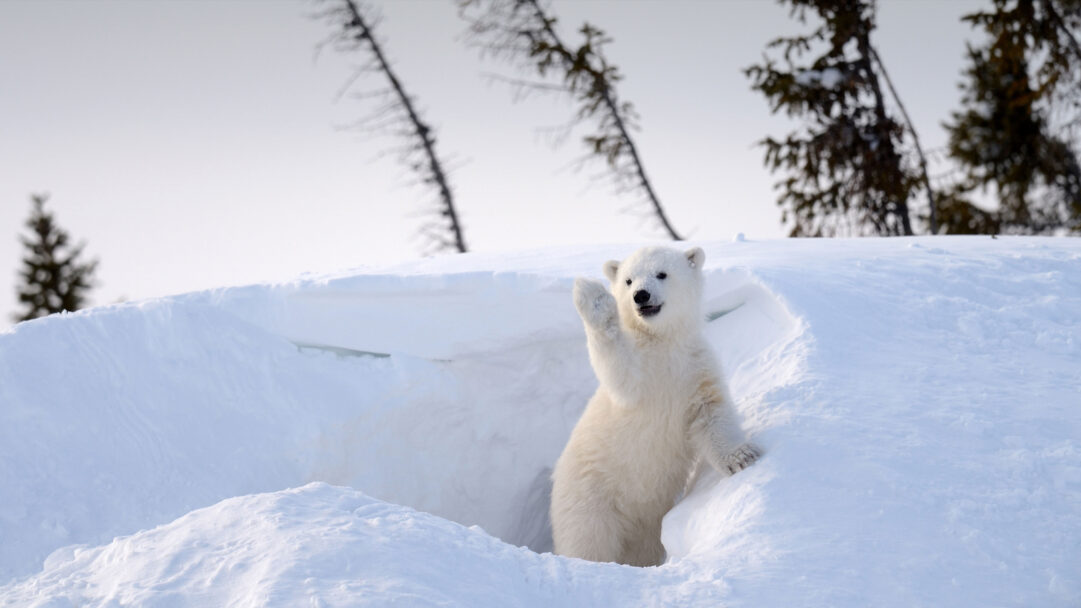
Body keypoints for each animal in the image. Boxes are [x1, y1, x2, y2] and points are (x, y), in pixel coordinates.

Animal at [550, 245, 760, 567]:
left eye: (662, 273)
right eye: (627, 280)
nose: (641, 295)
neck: (662, 343)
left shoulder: (695, 369)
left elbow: (711, 413)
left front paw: (742, 457)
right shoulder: (639, 377)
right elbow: (619, 371)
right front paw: (593, 297)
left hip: (644, 523)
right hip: (590, 498)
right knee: (588, 541)